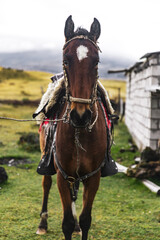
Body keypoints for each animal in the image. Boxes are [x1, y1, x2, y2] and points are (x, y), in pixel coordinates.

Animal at [37, 15, 108, 239]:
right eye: (66, 60)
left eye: (96, 61)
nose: (80, 116)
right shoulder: (62, 174)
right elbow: (66, 223)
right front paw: (69, 224)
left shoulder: (93, 177)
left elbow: (86, 220)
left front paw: (79, 224)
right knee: (46, 184)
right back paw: (42, 223)